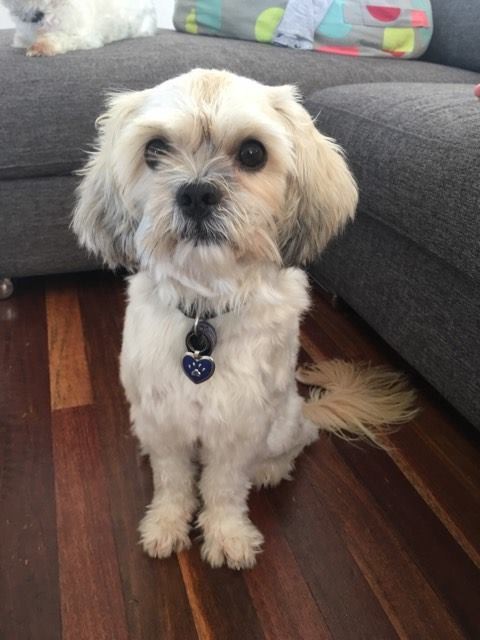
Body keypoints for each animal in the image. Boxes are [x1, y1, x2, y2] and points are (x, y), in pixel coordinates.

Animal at [73, 69, 416, 569]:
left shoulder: (239, 426)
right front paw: (165, 525)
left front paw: (227, 535)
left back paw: (271, 469)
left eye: (253, 153)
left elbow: (224, 488)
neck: (204, 312)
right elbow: (172, 481)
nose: (196, 193)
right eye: (154, 150)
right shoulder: (163, 418)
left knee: (302, 439)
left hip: (282, 422)